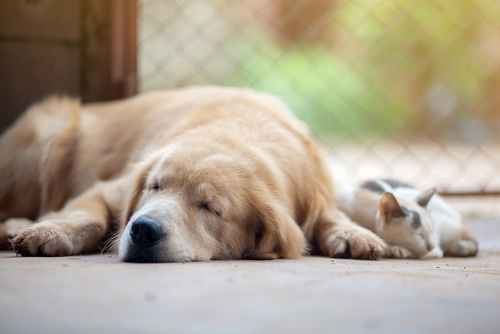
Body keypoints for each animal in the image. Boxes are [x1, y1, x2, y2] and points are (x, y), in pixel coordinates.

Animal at [338, 179, 478, 260]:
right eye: (418, 234)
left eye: (433, 230)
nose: (431, 246)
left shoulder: (435, 248)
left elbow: (422, 253)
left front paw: (395, 249)